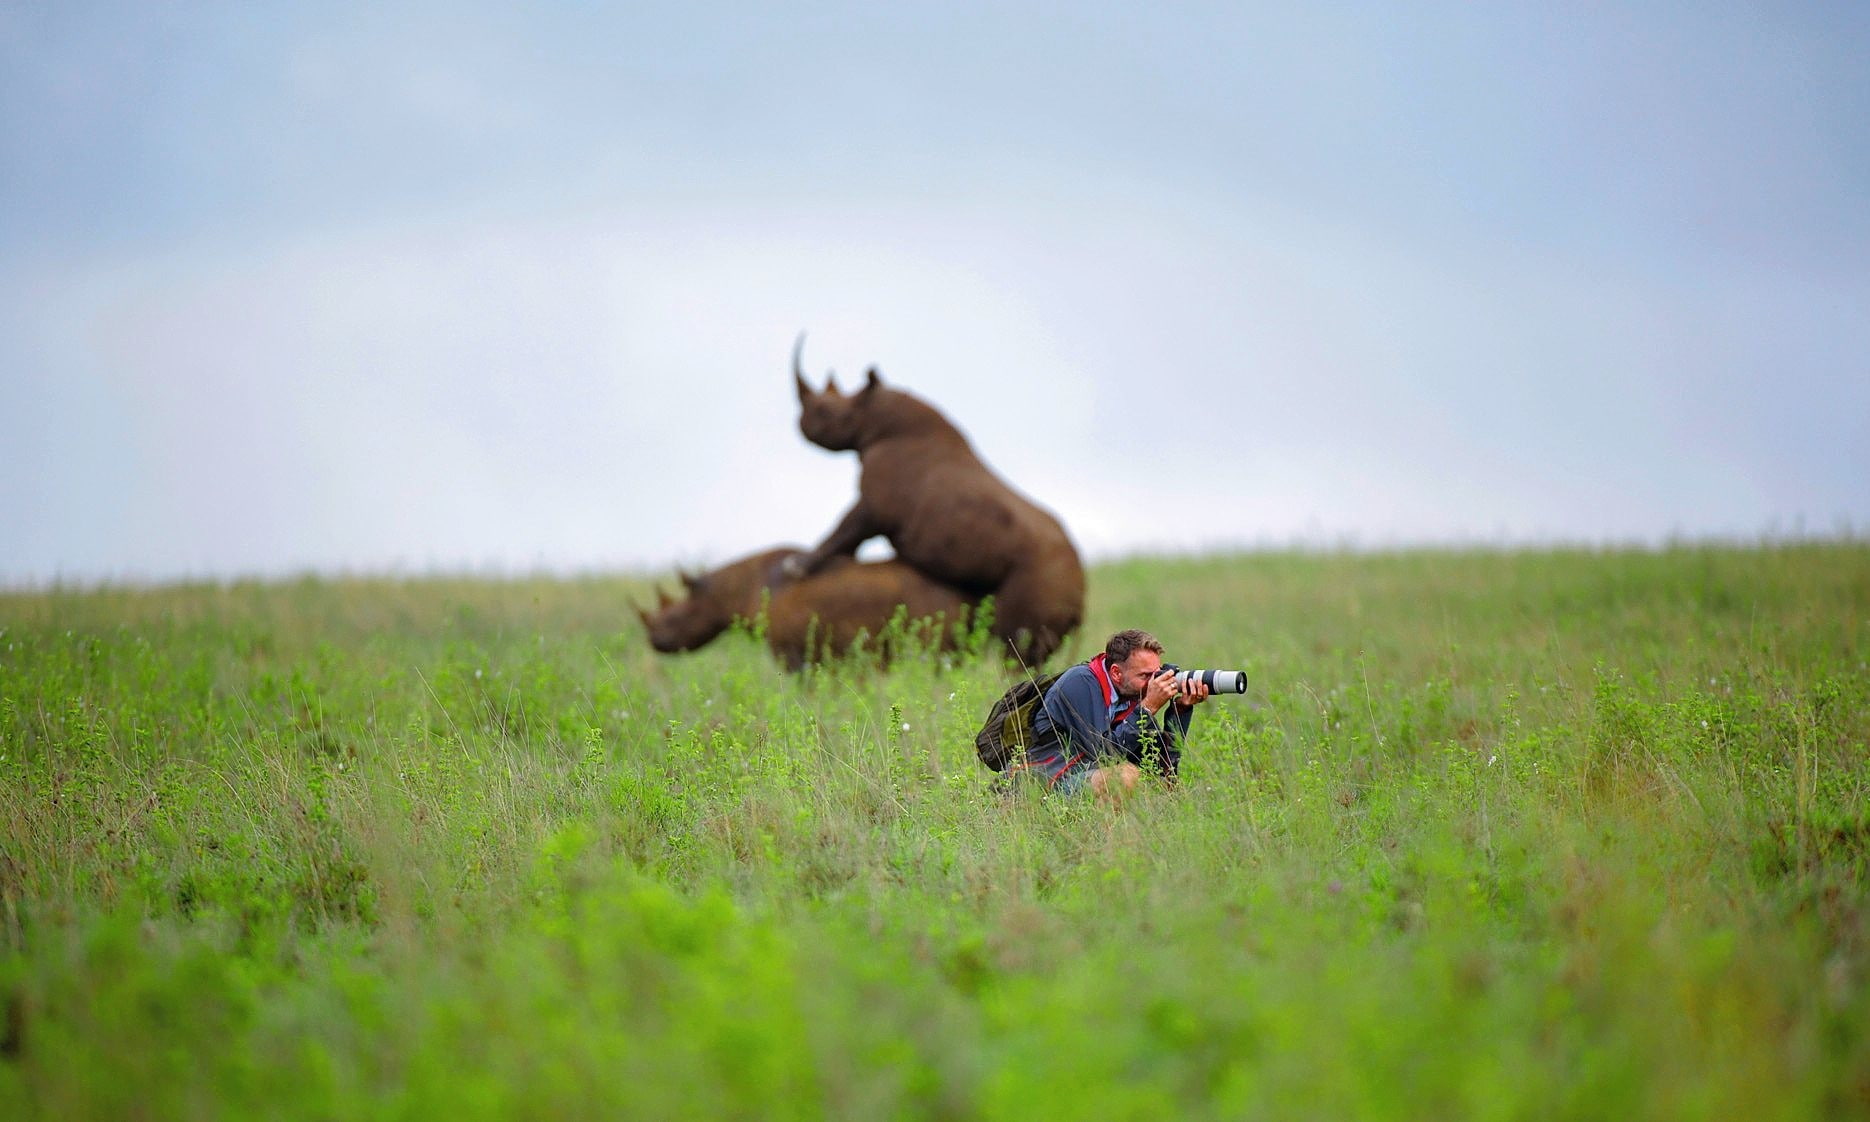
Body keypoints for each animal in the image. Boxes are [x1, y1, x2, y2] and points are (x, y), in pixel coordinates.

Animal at [789, 337, 1085, 666]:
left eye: (825, 412)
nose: (801, 424)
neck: (873, 415)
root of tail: (1083, 595)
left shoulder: (876, 503)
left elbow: (846, 527)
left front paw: (795, 567)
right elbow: (848, 535)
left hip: (1043, 576)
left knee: (1016, 644)